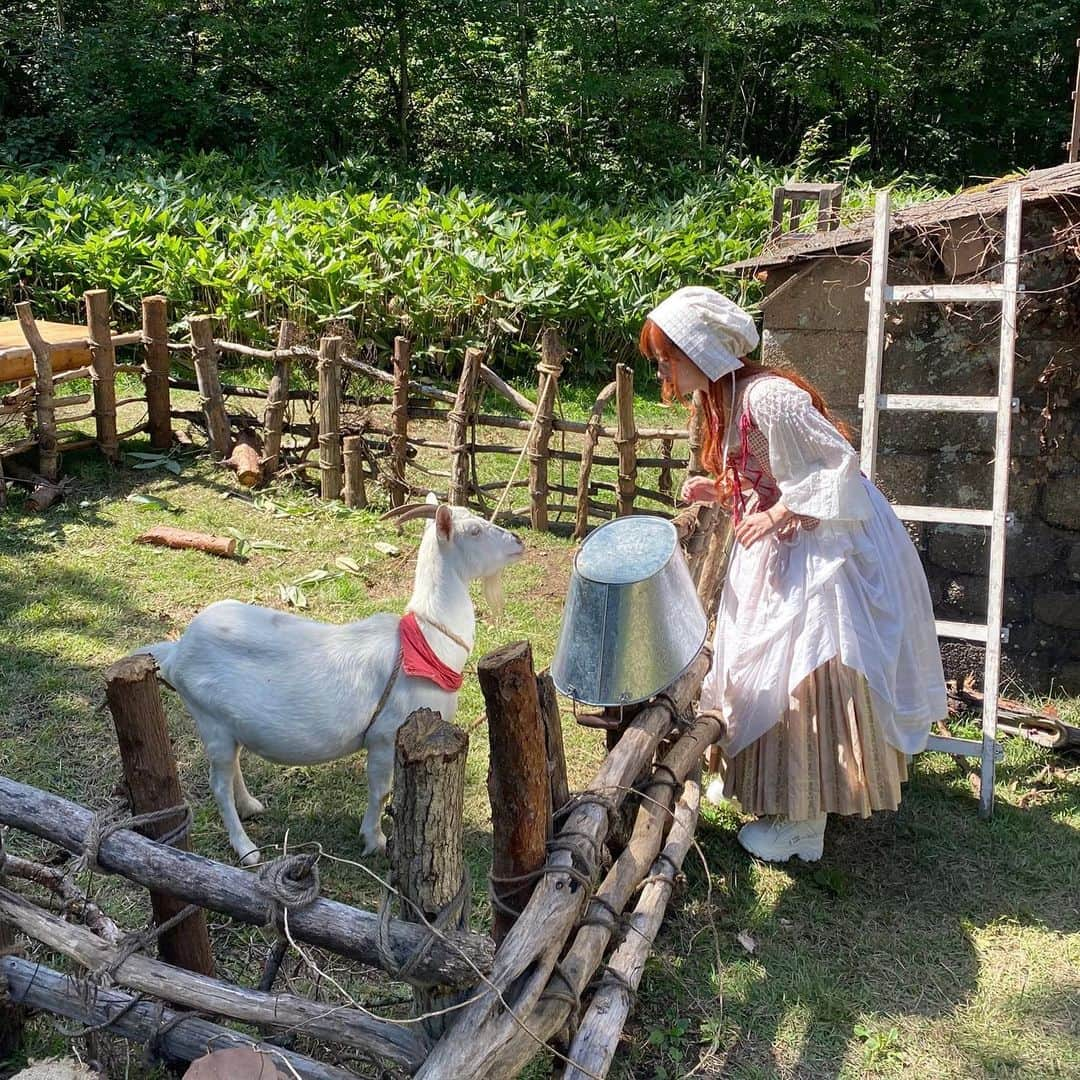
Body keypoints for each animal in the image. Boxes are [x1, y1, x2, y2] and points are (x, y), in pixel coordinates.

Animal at [137, 498, 524, 868]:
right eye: (474, 530)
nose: (519, 542)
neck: (424, 643)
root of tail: (177, 651)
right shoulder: (384, 737)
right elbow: (381, 790)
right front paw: (375, 840)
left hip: (229, 727)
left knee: (232, 767)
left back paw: (250, 806)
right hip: (209, 720)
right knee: (217, 784)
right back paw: (246, 848)